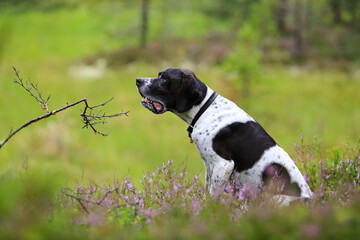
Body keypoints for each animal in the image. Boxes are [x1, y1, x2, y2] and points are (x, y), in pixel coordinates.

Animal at [136, 67, 312, 204]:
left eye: (164, 78)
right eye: (159, 74)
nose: (138, 80)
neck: (205, 109)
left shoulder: (224, 165)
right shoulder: (209, 166)